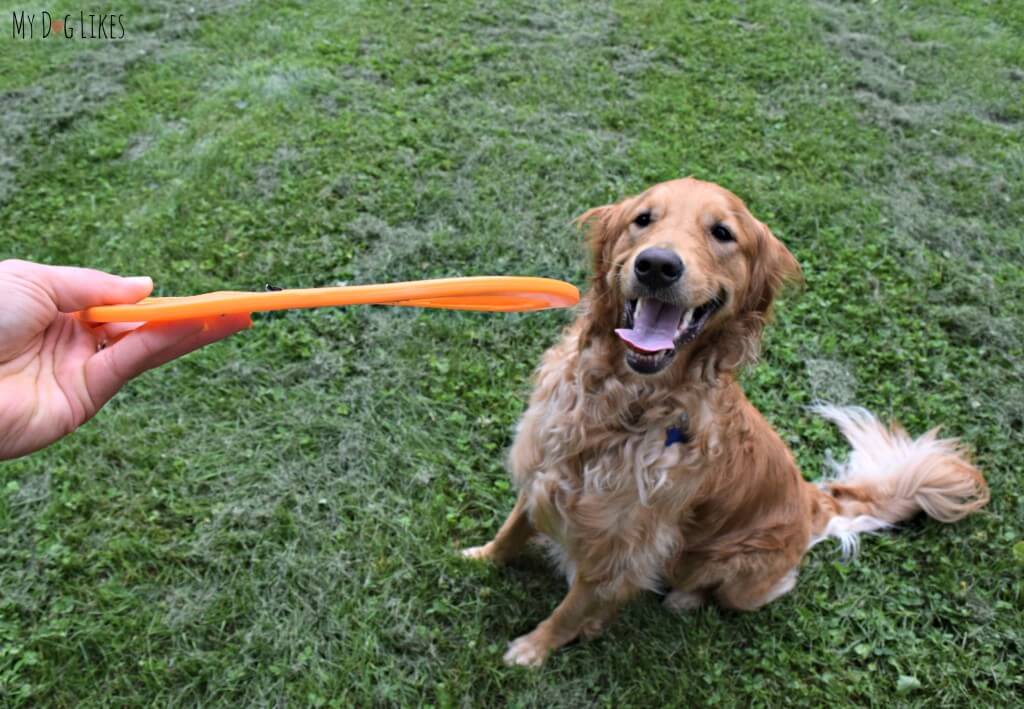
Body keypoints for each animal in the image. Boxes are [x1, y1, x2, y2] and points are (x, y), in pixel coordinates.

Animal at [460, 176, 987, 663]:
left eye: (721, 233)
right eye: (643, 219)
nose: (657, 265)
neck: (622, 403)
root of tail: (813, 502)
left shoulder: (622, 545)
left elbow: (572, 607)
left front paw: (534, 649)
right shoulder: (544, 467)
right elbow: (512, 529)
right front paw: (480, 558)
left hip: (741, 576)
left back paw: (683, 599)